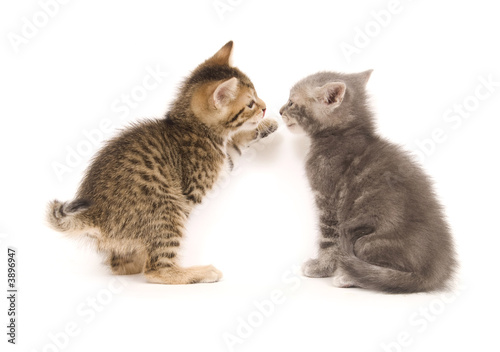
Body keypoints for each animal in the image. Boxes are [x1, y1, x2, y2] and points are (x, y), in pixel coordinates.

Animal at [47, 41, 278, 284]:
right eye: (250, 103)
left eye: (257, 97)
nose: (264, 108)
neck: (190, 125)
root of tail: (96, 215)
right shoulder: (196, 186)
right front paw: (260, 125)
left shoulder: (224, 158)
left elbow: (235, 144)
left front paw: (266, 126)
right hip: (167, 210)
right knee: (156, 270)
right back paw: (199, 272)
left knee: (120, 265)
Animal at [282, 70, 458, 292]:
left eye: (291, 102)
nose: (280, 111)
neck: (342, 134)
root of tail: (434, 272)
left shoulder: (328, 201)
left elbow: (328, 241)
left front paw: (321, 267)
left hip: (365, 241)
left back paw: (347, 277)